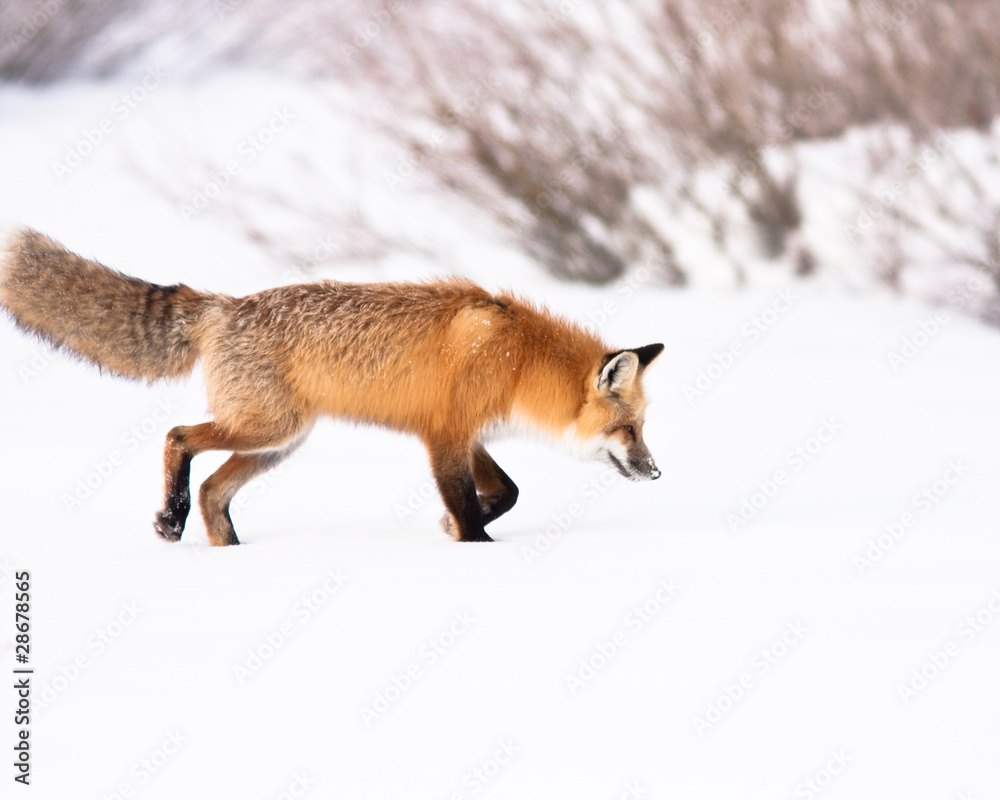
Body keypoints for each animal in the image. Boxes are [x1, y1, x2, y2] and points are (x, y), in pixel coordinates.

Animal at [0, 228, 663, 546]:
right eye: (628, 429)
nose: (657, 473)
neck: (518, 358)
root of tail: (224, 307)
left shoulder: (468, 436)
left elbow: (506, 492)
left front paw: (452, 528)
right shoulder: (444, 436)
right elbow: (471, 505)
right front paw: (471, 545)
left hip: (277, 444)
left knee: (215, 490)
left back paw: (227, 552)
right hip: (267, 428)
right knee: (178, 437)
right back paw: (171, 517)